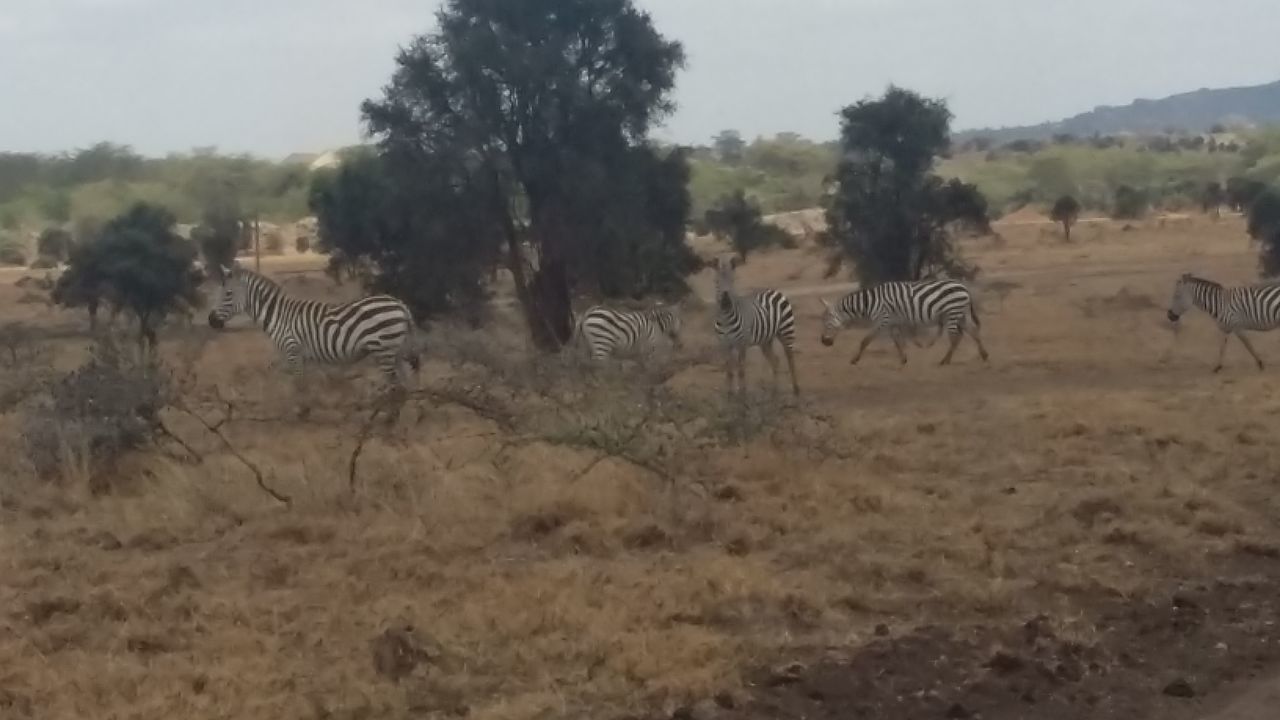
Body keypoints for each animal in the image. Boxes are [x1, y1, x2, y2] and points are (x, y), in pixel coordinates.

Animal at [206, 265, 419, 409]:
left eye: (228, 294)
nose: (211, 321)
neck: (278, 315)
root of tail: (400, 304)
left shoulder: (292, 349)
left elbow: (298, 385)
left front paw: (300, 413)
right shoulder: (298, 356)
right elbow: (296, 383)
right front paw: (303, 409)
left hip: (385, 350)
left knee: (397, 386)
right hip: (395, 352)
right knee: (404, 385)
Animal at [711, 253, 798, 397]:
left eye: (733, 280)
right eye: (716, 282)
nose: (726, 302)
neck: (725, 319)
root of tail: (773, 290)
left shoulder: (742, 343)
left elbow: (741, 370)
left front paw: (742, 394)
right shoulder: (724, 345)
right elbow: (729, 371)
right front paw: (729, 395)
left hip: (787, 330)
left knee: (791, 358)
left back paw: (796, 389)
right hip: (766, 340)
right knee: (776, 360)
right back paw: (775, 390)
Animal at [819, 275, 988, 363]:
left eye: (827, 323)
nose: (824, 342)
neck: (869, 303)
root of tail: (964, 288)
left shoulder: (882, 319)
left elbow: (865, 340)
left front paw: (854, 360)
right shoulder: (892, 322)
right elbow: (897, 340)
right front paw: (903, 359)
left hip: (952, 312)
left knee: (955, 337)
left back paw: (945, 361)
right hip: (961, 314)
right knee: (973, 332)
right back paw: (984, 355)